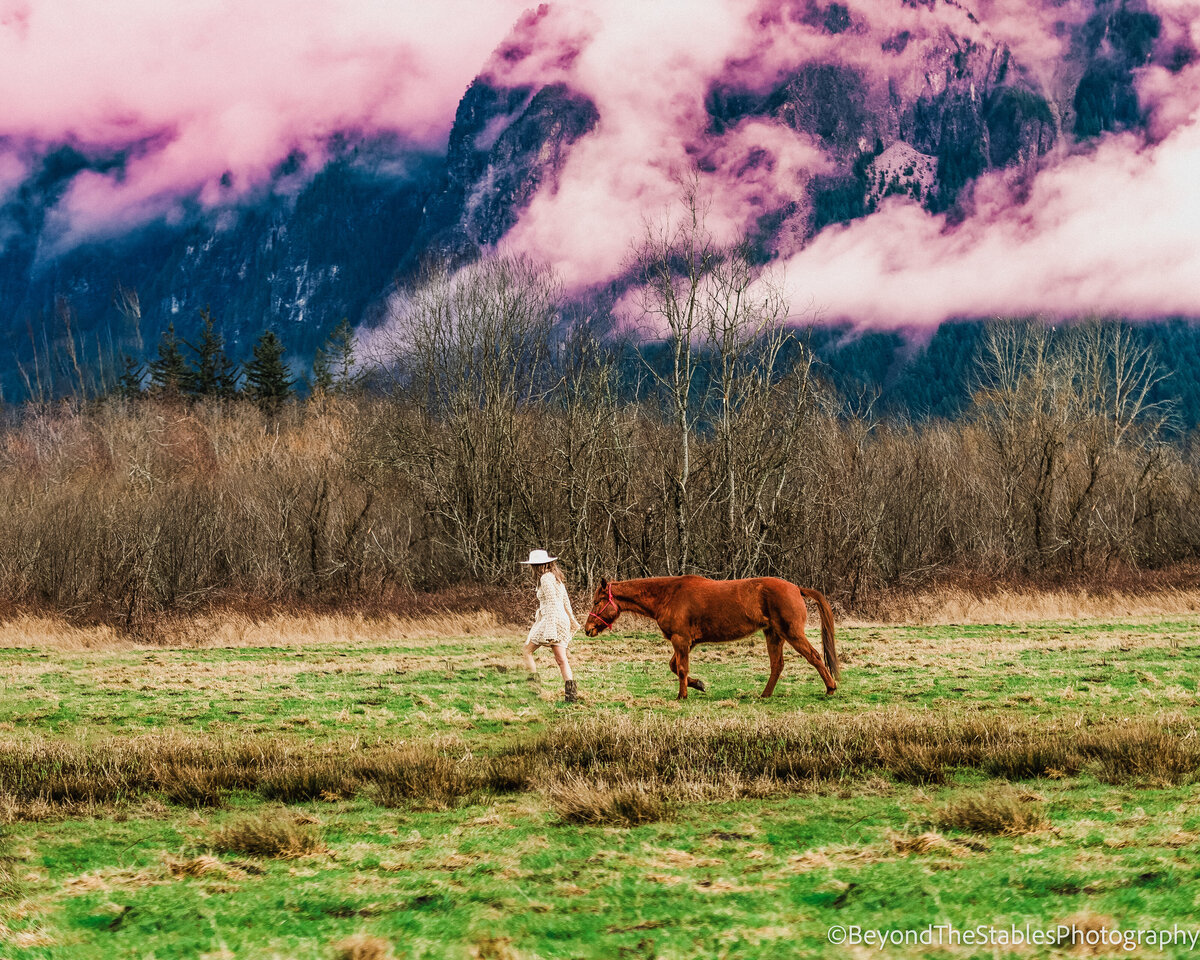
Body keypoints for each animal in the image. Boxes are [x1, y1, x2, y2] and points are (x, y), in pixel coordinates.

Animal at [585, 573, 840, 700]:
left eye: (597, 601)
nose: (588, 628)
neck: (669, 595)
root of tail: (797, 589)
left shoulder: (681, 640)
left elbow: (681, 669)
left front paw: (682, 695)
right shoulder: (687, 642)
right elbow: (674, 667)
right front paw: (698, 684)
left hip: (791, 633)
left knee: (814, 656)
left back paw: (830, 689)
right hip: (773, 634)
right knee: (777, 665)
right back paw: (765, 695)